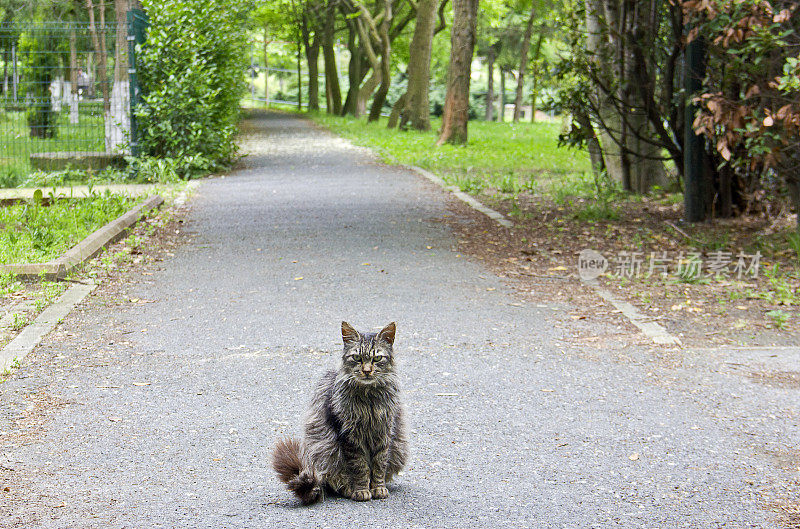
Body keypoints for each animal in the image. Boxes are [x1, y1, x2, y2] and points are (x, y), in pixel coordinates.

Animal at [274, 322, 410, 504]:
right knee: (336, 481)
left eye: (377, 358)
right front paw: (361, 490)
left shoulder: (385, 432)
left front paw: (378, 489)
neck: (369, 399)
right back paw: (349, 490)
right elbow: (360, 468)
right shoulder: (350, 436)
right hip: (325, 453)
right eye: (357, 358)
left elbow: (379, 466)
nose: (367, 371)